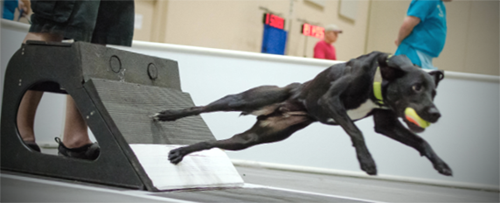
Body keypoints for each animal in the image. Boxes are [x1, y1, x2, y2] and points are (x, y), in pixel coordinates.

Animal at [151, 51, 450, 176]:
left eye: (434, 92)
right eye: (415, 87)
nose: (435, 114)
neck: (379, 76)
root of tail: (275, 108)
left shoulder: (386, 124)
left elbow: (421, 141)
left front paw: (440, 164)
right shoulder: (330, 101)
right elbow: (356, 131)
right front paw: (366, 161)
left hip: (249, 140)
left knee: (212, 142)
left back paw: (180, 152)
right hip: (241, 99)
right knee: (201, 107)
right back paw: (168, 115)